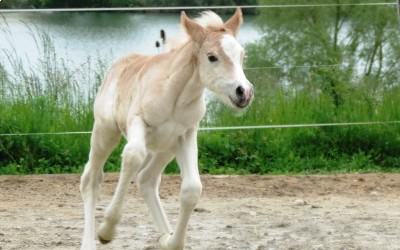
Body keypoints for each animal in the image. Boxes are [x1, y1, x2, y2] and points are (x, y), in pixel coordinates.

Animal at [80, 8, 255, 249]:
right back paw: (90, 241)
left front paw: (174, 242)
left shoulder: (186, 135)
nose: (244, 93)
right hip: (106, 132)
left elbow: (192, 189)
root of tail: (118, 65)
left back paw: (165, 236)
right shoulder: (138, 122)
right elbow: (132, 157)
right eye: (212, 57)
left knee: (146, 179)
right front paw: (107, 230)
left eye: (242, 56)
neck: (175, 95)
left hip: (165, 147)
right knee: (92, 178)